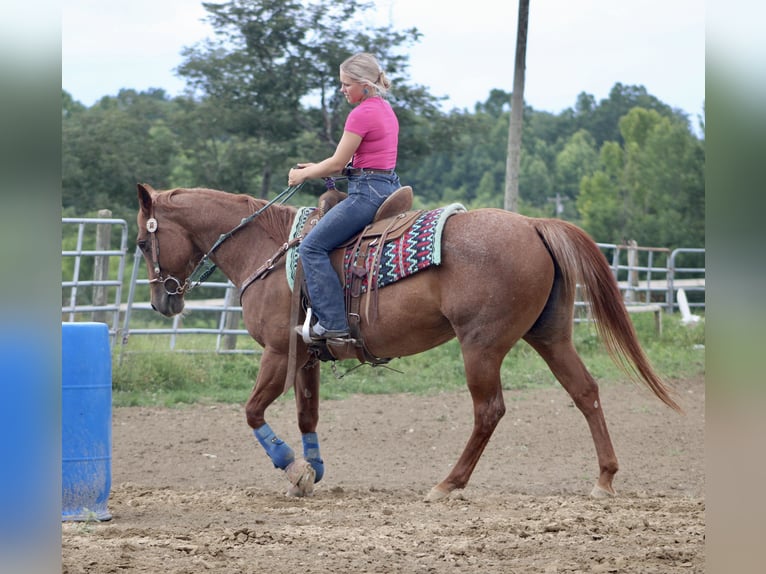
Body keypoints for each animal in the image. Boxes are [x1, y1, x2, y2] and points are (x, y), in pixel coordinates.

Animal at [135, 183, 680, 500]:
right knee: (585, 391)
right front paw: (313, 470)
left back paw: (448, 484)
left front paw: (293, 470)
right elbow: (307, 414)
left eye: (142, 241)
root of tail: (532, 224)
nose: (163, 303)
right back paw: (605, 478)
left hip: (481, 345)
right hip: (548, 335)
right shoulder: (306, 356)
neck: (269, 252)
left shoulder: (277, 352)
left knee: (490, 411)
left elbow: (252, 411)